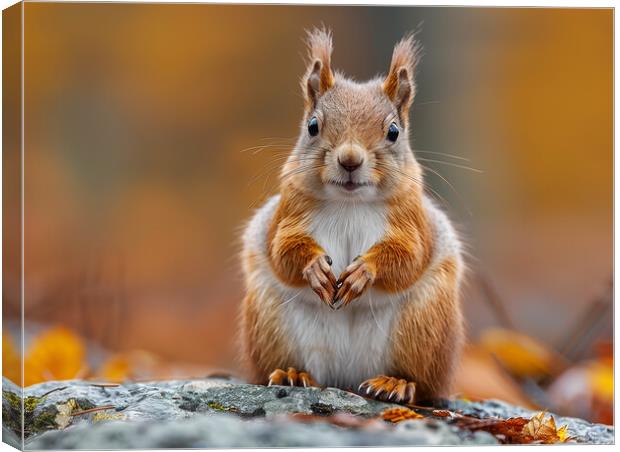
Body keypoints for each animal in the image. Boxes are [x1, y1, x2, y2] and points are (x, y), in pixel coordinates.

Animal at [240, 30, 462, 404]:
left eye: (393, 132)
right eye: (313, 126)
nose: (349, 159)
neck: (349, 203)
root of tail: (346, 378)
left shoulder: (411, 222)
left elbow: (409, 256)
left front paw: (364, 271)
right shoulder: (288, 214)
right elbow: (282, 249)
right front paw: (314, 267)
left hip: (424, 324)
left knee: (422, 383)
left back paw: (395, 383)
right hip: (270, 322)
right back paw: (291, 374)